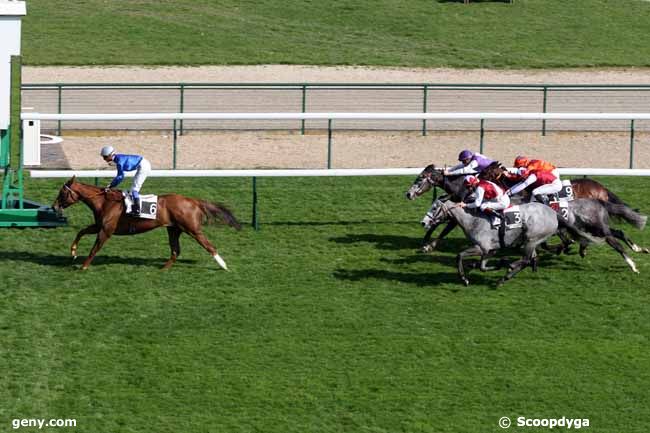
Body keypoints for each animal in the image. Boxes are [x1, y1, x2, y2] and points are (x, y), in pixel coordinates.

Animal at [51, 176, 240, 270]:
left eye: (62, 193)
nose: (54, 207)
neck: (104, 201)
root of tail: (194, 201)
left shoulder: (106, 230)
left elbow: (94, 249)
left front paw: (83, 266)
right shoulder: (99, 226)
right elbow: (81, 231)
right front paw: (73, 252)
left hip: (192, 229)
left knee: (209, 246)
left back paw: (223, 266)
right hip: (173, 229)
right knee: (175, 251)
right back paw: (163, 269)